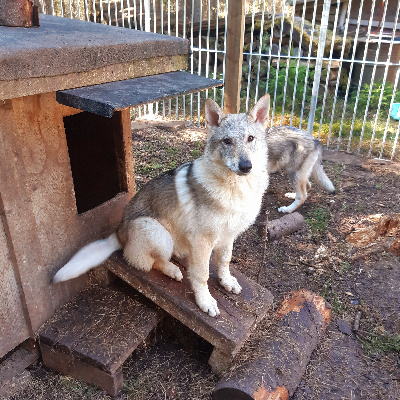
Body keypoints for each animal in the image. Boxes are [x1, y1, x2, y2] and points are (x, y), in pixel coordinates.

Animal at [53, 94, 271, 317]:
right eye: (227, 141)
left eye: (250, 139)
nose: (246, 166)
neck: (238, 189)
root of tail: (119, 233)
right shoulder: (203, 241)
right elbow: (201, 275)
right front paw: (205, 302)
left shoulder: (228, 237)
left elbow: (224, 263)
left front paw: (226, 282)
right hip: (160, 235)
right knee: (151, 263)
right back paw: (174, 271)